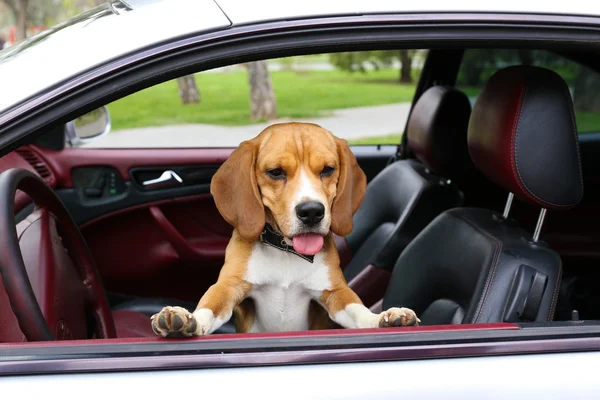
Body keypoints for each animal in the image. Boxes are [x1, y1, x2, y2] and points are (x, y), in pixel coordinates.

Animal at [152, 122, 420, 338]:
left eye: (327, 169)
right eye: (276, 172)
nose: (311, 211)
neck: (285, 251)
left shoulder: (335, 292)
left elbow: (357, 310)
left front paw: (383, 319)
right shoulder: (229, 286)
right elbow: (209, 306)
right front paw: (187, 320)